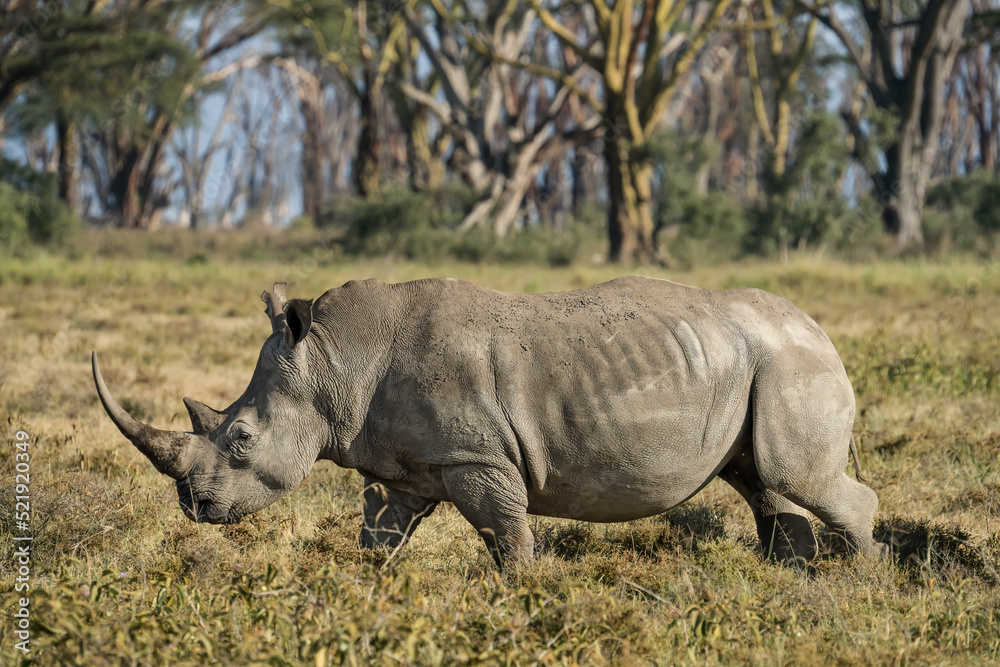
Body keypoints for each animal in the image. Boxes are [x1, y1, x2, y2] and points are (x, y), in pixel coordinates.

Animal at [92, 277, 884, 567]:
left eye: (240, 439)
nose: (194, 507)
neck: (336, 363)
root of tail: (823, 330)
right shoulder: (409, 466)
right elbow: (380, 535)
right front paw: (362, 591)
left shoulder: (477, 458)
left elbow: (507, 534)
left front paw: (525, 593)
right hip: (762, 364)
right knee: (766, 484)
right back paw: (792, 583)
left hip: (792, 366)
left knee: (796, 478)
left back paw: (861, 582)